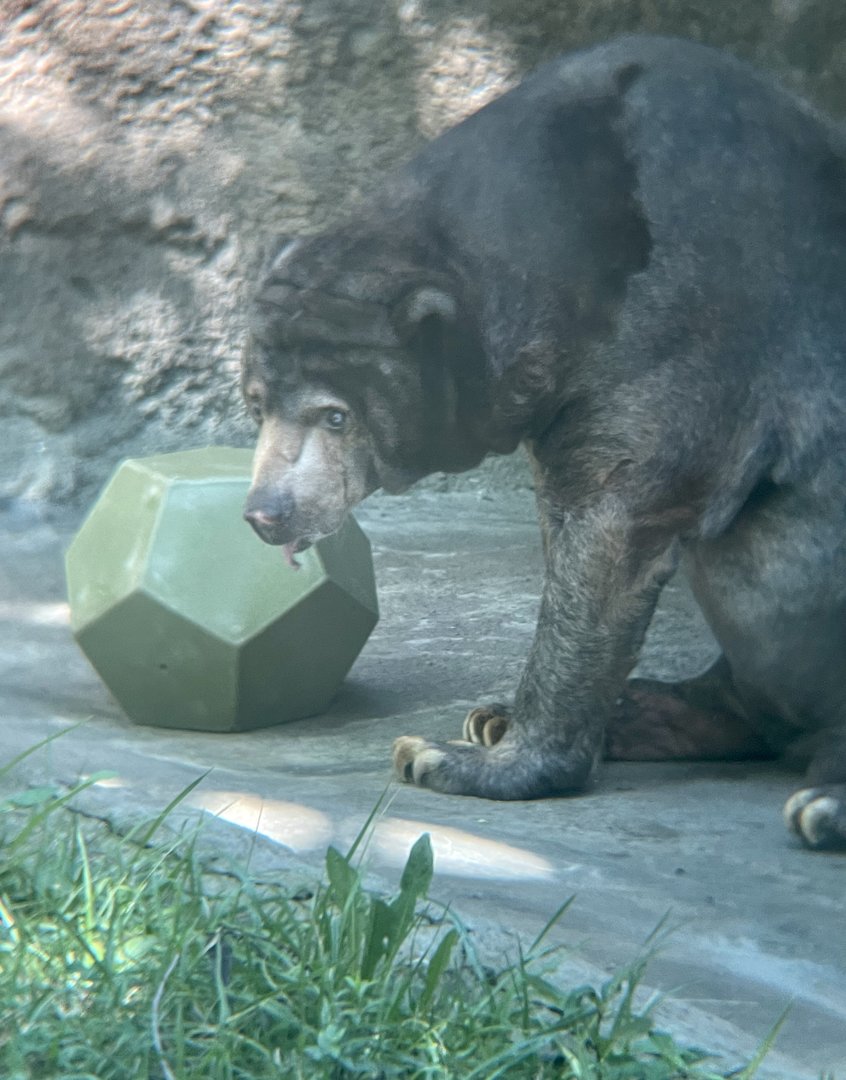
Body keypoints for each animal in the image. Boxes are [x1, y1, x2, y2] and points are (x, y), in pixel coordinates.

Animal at [241, 34, 846, 849]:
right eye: (255, 404)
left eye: (336, 416)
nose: (267, 513)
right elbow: (565, 515)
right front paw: (498, 721)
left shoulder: (688, 328)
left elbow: (612, 527)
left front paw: (461, 759)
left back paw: (823, 800)